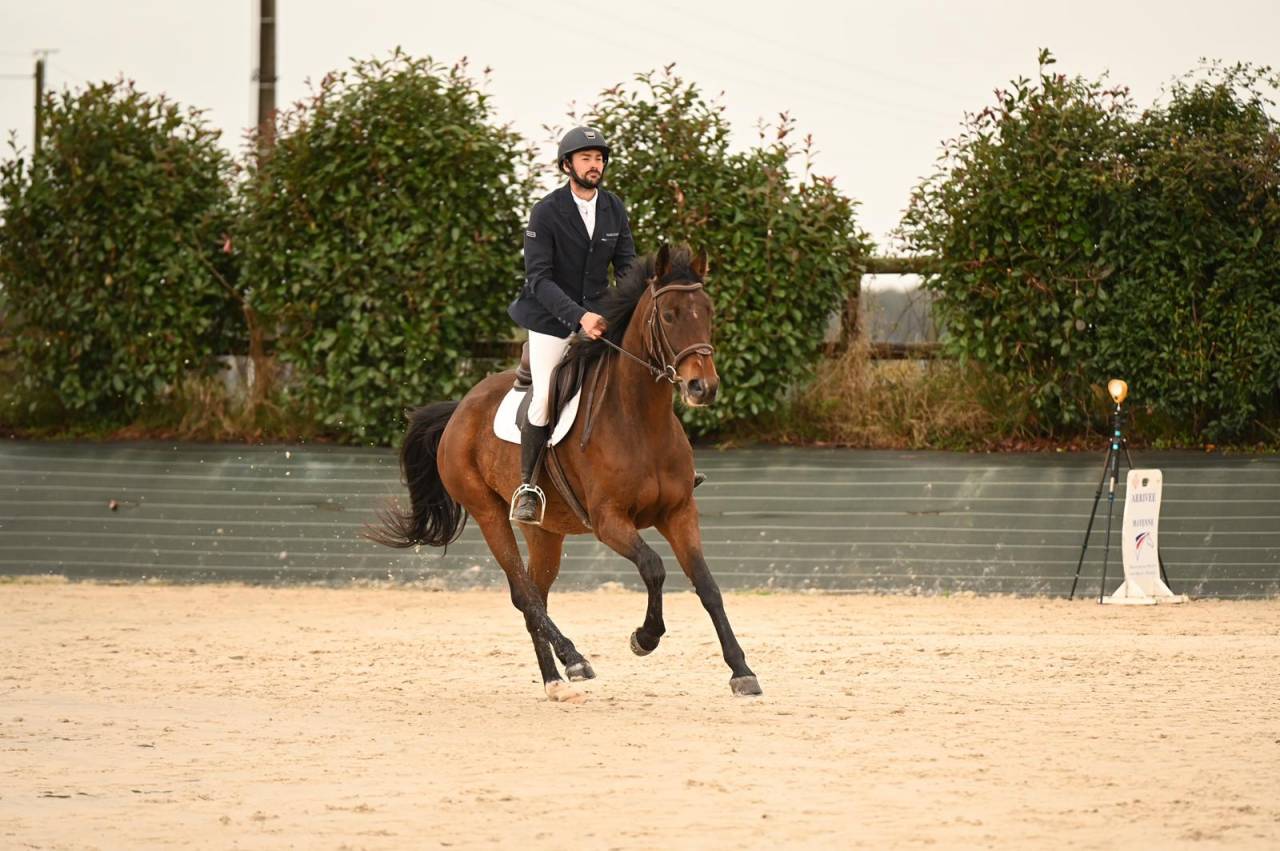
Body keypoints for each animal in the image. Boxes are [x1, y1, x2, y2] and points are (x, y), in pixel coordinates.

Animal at [369, 244, 761, 702]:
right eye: (668, 315)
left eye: (708, 311)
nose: (703, 388)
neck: (641, 421)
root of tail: (460, 408)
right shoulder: (609, 521)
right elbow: (653, 567)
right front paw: (644, 638)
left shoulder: (679, 512)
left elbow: (708, 586)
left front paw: (741, 671)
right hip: (488, 513)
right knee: (523, 594)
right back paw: (573, 661)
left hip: (544, 531)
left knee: (535, 594)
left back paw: (555, 678)